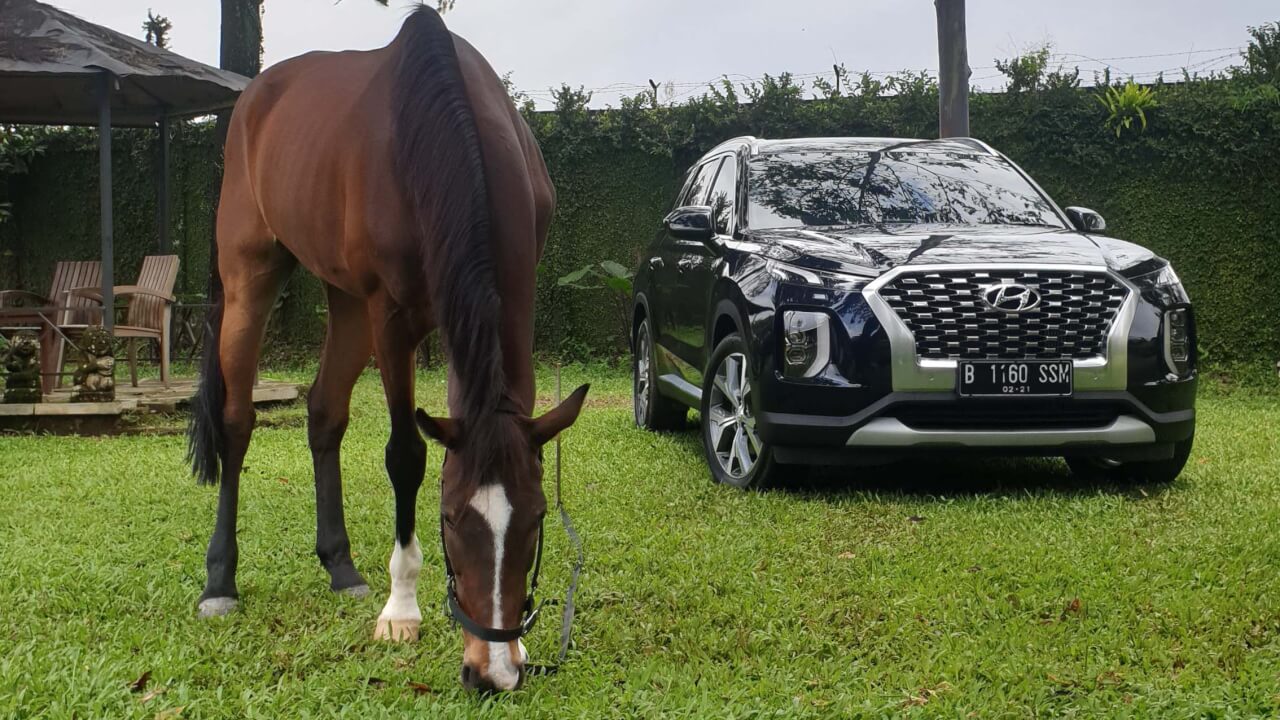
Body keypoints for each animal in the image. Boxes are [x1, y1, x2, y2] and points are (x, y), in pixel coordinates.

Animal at [186, 6, 588, 692]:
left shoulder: (512, 303)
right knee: (236, 424)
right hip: (252, 277)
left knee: (324, 413)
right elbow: (406, 455)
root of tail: (256, 96)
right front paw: (402, 608)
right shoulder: (392, 319)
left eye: (537, 520)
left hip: (346, 303)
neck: (443, 134)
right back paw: (221, 582)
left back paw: (340, 566)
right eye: (449, 519)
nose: (492, 671)